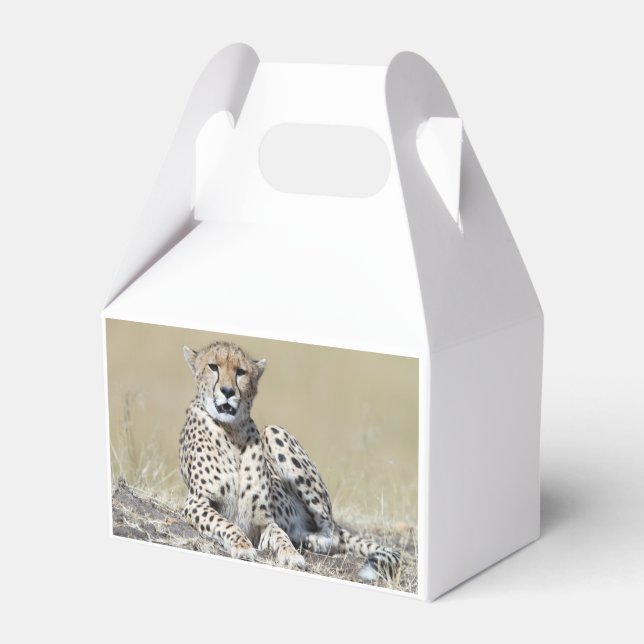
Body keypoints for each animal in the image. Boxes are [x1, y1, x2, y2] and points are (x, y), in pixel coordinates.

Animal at [179, 340, 402, 582]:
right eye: (213, 367)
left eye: (241, 372)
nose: (228, 391)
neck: (232, 432)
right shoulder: (196, 502)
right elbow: (225, 523)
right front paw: (242, 546)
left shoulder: (265, 521)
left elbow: (280, 535)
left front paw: (291, 555)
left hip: (273, 432)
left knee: (331, 531)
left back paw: (315, 540)